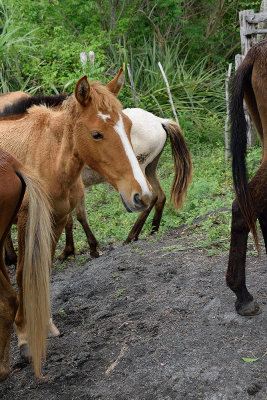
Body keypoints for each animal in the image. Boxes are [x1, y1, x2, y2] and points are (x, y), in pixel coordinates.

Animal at [0, 70, 153, 380]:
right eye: (97, 133)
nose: (141, 195)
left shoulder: (57, 219)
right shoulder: (27, 221)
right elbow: (23, 273)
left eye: (129, 126)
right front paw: (24, 336)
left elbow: (44, 269)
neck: (48, 156)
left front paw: (45, 324)